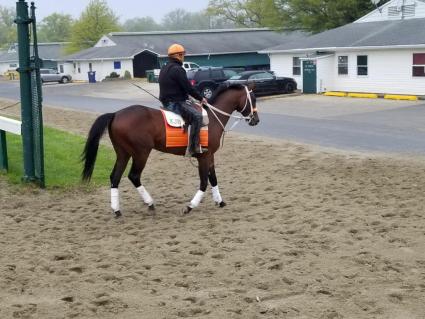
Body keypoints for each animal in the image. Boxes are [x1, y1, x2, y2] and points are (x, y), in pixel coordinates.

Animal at [80, 82, 258, 218]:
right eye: (254, 99)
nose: (256, 120)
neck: (212, 118)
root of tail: (116, 114)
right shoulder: (204, 157)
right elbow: (204, 182)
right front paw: (190, 206)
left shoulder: (210, 156)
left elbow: (213, 179)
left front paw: (220, 202)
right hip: (141, 153)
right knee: (134, 176)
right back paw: (150, 203)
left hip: (123, 154)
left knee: (115, 178)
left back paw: (117, 210)